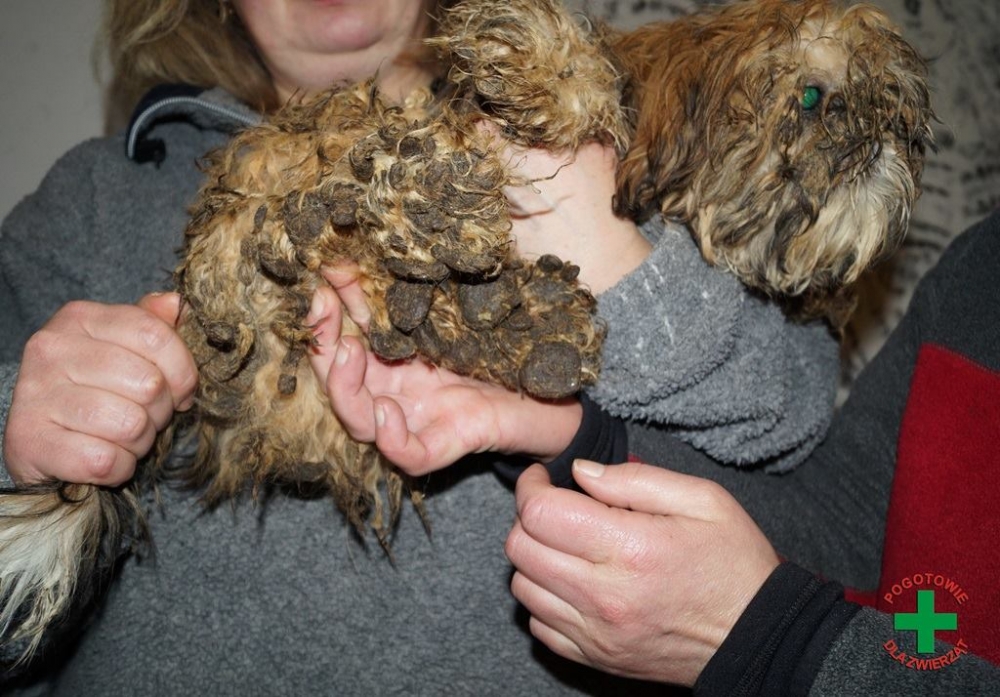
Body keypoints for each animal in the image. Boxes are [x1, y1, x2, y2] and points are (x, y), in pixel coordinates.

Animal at [0, 0, 932, 664]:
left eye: (899, 113)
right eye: (813, 96)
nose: (882, 136)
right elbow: (579, 82)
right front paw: (540, 61)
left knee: (424, 292)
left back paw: (512, 304)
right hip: (295, 167)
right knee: (345, 181)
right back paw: (434, 204)